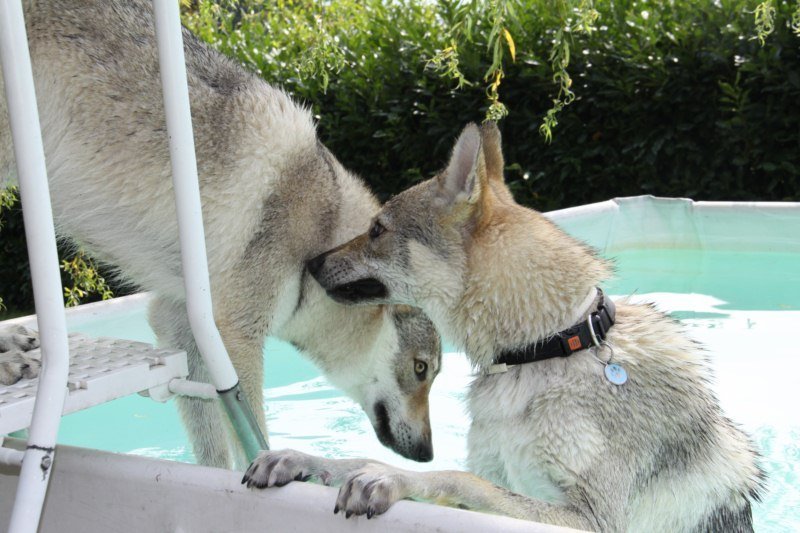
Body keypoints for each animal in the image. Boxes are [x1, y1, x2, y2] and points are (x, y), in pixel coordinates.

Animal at [0, 0, 441, 468]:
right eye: (421, 369)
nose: (429, 454)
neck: (321, 239)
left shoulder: (178, 324)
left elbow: (211, 449)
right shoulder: (234, 336)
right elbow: (252, 434)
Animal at [243, 123, 765, 531]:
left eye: (376, 229)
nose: (312, 263)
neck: (552, 347)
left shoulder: (588, 520)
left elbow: (455, 477)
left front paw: (389, 479)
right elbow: (366, 459)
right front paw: (301, 461)